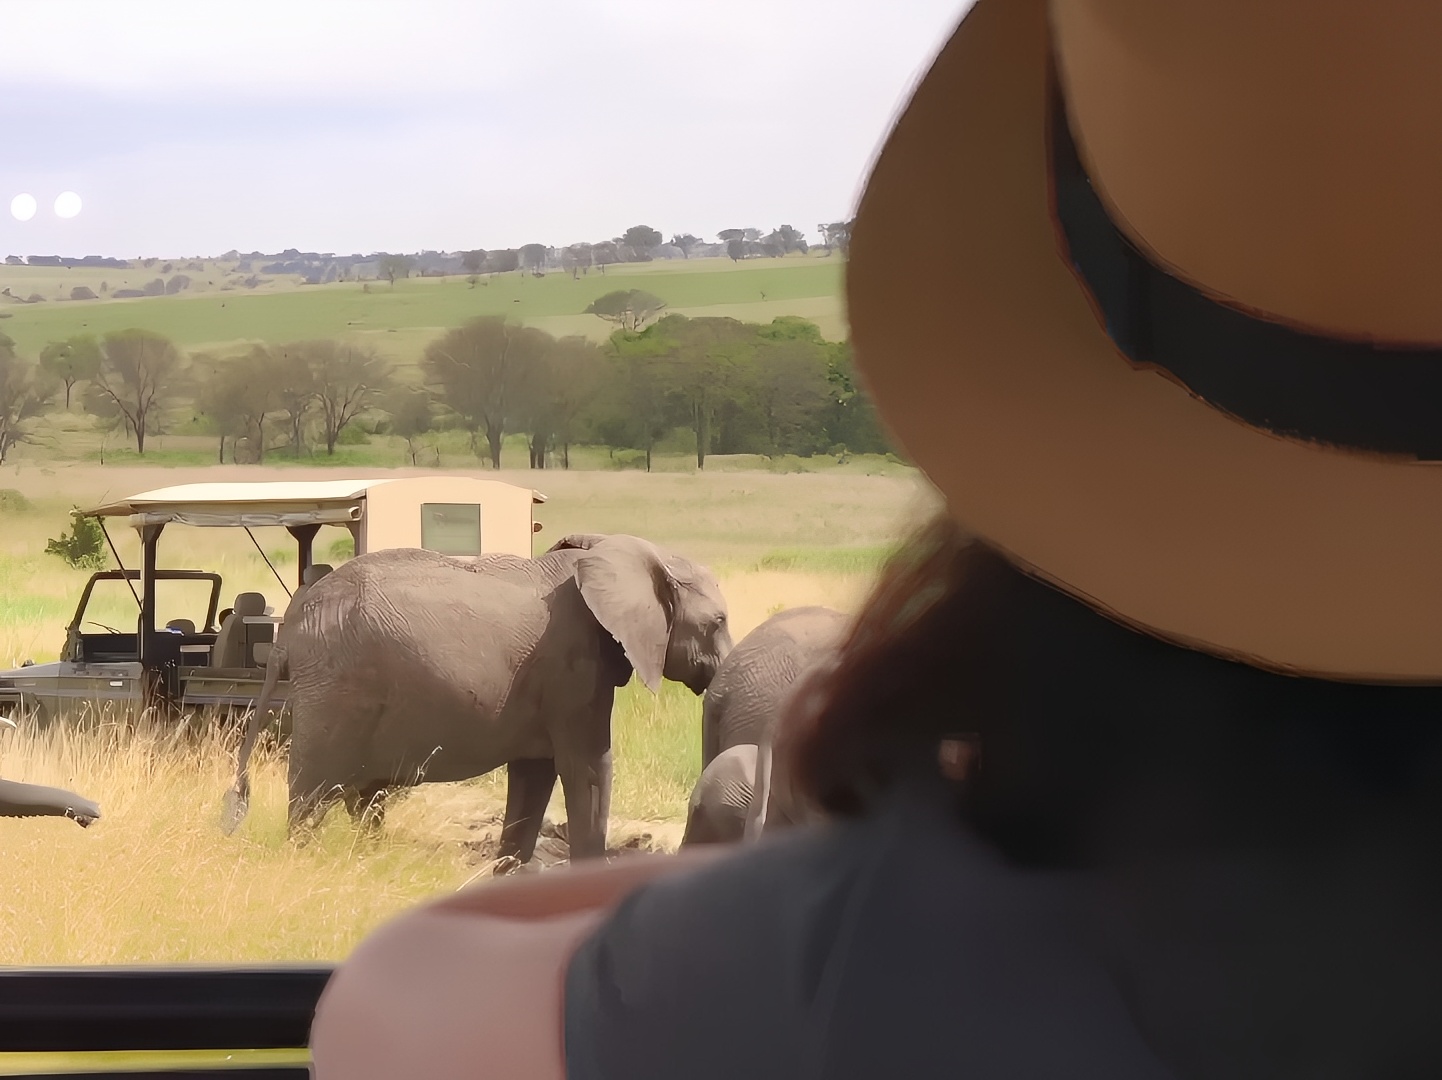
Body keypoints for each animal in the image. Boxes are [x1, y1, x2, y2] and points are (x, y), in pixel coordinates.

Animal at [223, 536, 732, 865]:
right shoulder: (572, 667)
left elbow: (534, 773)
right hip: (336, 689)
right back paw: (305, 860)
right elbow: (587, 767)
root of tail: (290, 631)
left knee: (366, 800)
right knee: (312, 796)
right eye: (719, 622)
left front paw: (507, 874)